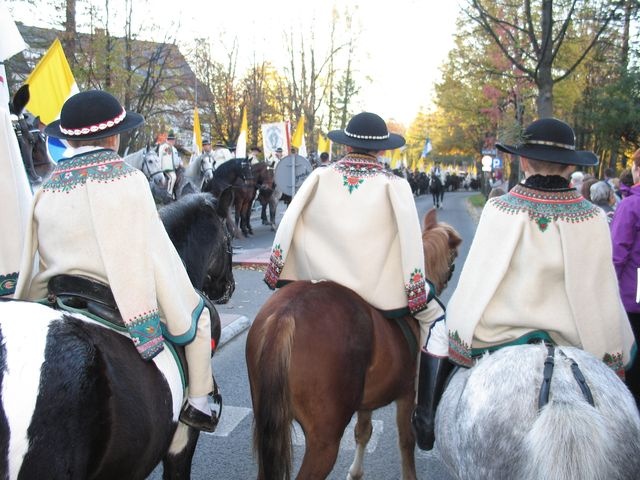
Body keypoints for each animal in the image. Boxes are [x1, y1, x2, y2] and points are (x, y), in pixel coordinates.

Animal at [245, 210, 460, 480]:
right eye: (453, 256)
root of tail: (286, 315)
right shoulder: (407, 394)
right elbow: (406, 441)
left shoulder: (366, 403)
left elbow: (363, 432)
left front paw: (355, 472)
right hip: (324, 443)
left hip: (270, 430)